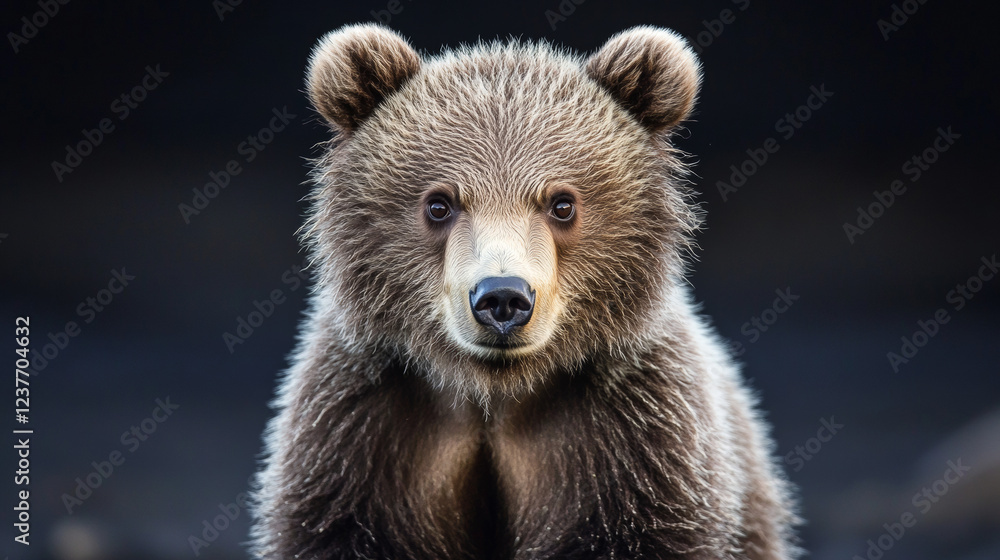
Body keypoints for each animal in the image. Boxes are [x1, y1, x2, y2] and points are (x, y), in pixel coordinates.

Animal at [250, 24, 799, 560]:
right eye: (439, 203)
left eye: (562, 204)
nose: (502, 298)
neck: (494, 395)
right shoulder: (359, 433)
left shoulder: (636, 439)